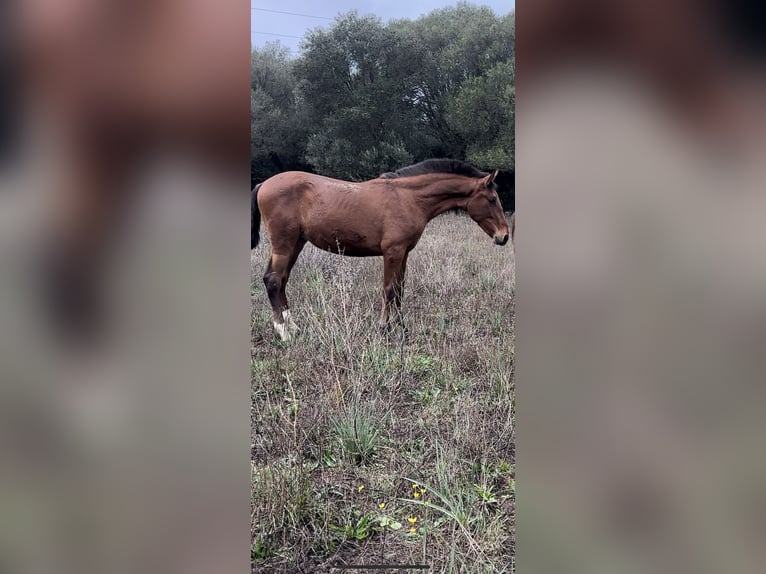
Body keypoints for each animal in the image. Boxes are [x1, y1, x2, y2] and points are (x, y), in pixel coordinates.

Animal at [251, 159, 512, 341]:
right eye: (491, 199)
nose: (504, 236)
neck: (409, 198)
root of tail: (264, 183)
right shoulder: (392, 252)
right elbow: (389, 290)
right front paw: (385, 329)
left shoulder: (404, 253)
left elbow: (399, 290)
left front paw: (402, 329)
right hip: (284, 243)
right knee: (273, 280)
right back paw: (284, 332)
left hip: (296, 243)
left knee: (281, 280)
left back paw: (293, 326)